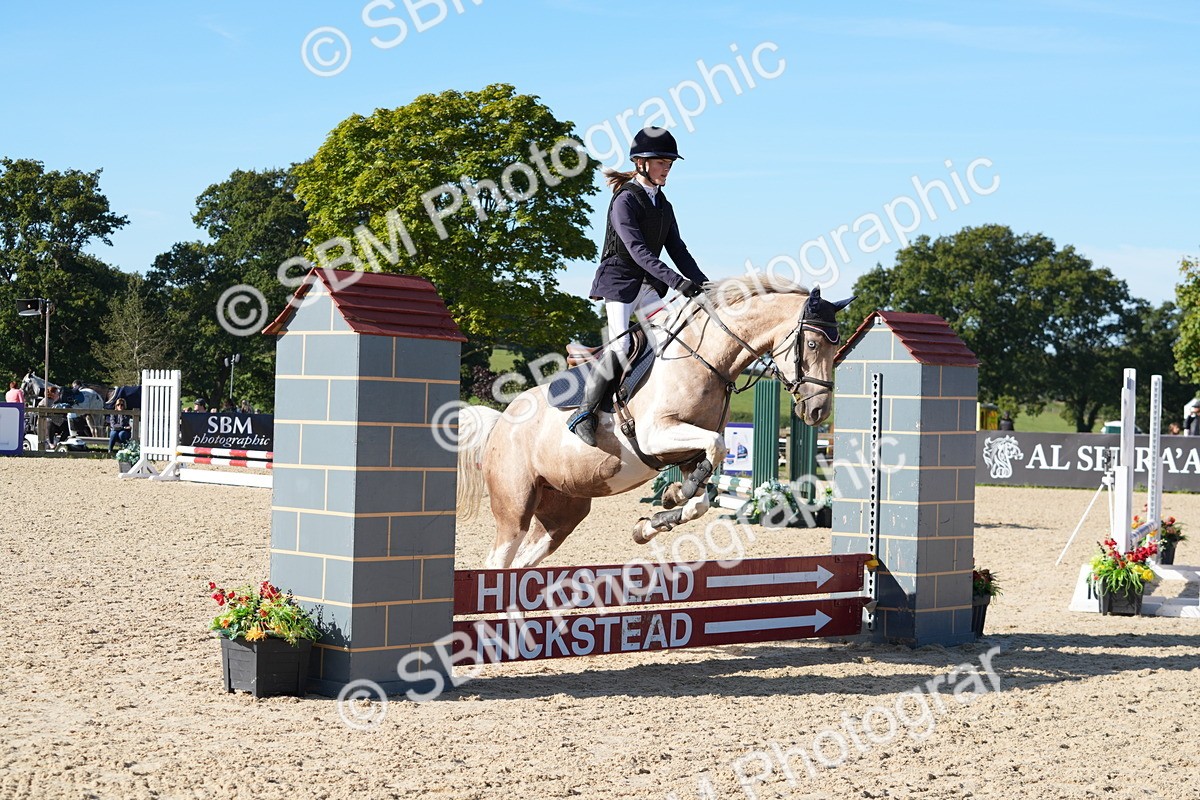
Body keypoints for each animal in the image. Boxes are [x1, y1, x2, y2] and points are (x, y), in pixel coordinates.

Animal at [456, 277, 854, 569]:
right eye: (814, 345)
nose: (818, 411)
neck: (707, 358)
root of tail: (501, 423)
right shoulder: (656, 436)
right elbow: (717, 447)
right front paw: (675, 494)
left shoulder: (687, 451)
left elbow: (702, 497)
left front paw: (657, 516)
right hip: (515, 506)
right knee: (497, 562)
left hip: (563, 511)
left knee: (521, 565)